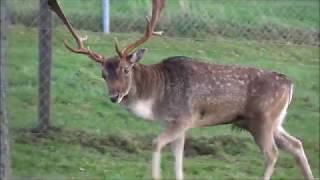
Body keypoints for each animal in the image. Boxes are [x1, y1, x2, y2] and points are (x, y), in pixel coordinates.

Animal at [48, 0, 314, 179]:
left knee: (272, 153)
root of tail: (290, 84)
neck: (157, 97)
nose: (114, 96)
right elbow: (178, 156)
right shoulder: (177, 123)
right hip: (274, 121)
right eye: (103, 74)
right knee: (296, 144)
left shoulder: (184, 117)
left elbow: (157, 143)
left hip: (262, 119)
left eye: (125, 69)